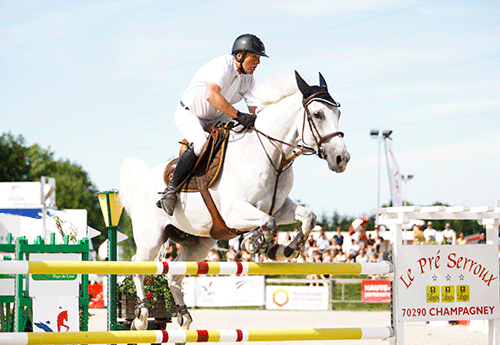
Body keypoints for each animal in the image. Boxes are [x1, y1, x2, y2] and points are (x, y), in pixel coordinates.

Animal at [119, 72, 350, 334]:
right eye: (318, 114)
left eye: (338, 113)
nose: (342, 159)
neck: (271, 155)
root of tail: (144, 181)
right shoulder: (235, 212)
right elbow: (268, 224)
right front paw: (254, 244)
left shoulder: (280, 208)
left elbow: (308, 218)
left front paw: (284, 250)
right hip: (151, 238)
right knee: (137, 266)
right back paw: (141, 315)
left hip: (198, 243)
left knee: (174, 275)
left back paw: (184, 315)